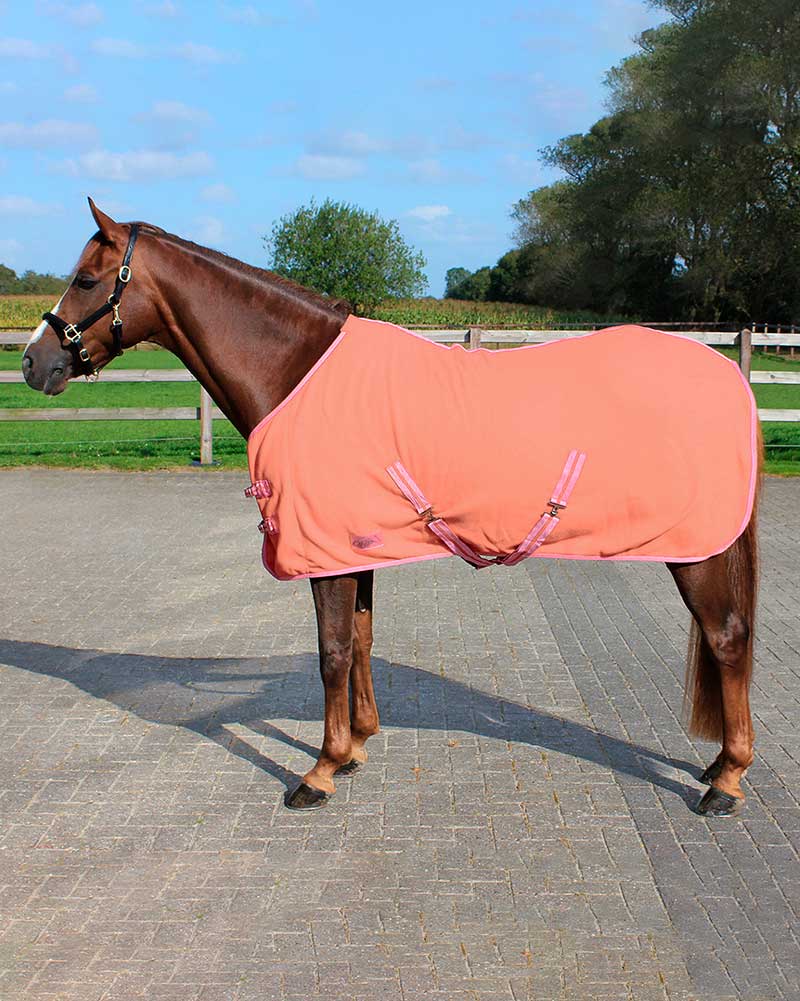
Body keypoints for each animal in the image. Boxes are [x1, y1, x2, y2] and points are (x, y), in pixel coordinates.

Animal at [22, 199, 760, 817]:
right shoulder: (353, 546)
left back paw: (726, 780)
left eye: (86, 279)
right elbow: (361, 640)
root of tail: (728, 376)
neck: (299, 371)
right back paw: (717, 766)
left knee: (725, 637)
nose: (33, 363)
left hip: (696, 548)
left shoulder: (322, 551)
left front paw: (319, 771)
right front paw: (355, 747)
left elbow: (330, 651)